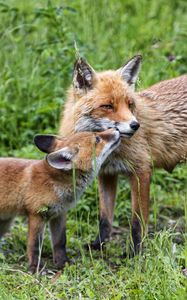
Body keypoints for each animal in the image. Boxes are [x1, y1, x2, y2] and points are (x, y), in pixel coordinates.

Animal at [59, 55, 187, 253]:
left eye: (130, 104)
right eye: (107, 106)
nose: (135, 125)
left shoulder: (141, 171)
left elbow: (137, 222)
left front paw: (136, 252)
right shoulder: (106, 174)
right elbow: (105, 218)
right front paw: (98, 245)